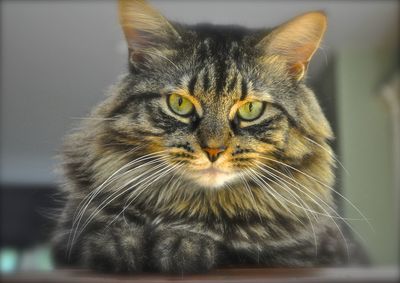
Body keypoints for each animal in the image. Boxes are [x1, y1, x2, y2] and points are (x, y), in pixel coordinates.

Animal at [54, 0, 368, 276]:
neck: (193, 211)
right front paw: (123, 245)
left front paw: (180, 245)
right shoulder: (67, 237)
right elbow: (102, 239)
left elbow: (238, 250)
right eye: (179, 104)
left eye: (251, 109)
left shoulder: (312, 253)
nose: (214, 150)